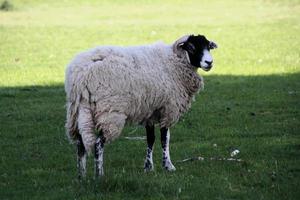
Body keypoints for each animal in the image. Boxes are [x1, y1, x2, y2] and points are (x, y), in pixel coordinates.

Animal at [64, 34, 217, 178]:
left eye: (208, 47)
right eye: (191, 47)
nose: (209, 62)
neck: (175, 60)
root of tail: (80, 77)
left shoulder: (150, 111)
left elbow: (150, 139)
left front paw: (148, 167)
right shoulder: (167, 108)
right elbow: (164, 139)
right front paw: (168, 166)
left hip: (79, 112)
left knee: (80, 145)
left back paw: (82, 177)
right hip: (109, 113)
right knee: (98, 145)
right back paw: (99, 176)